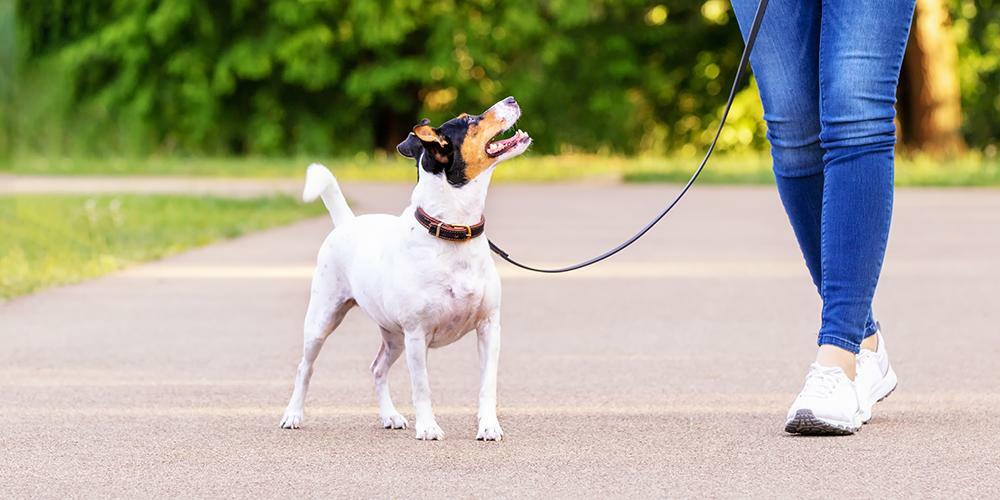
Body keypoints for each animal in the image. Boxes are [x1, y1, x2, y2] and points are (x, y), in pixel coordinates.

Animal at [280, 95, 532, 440]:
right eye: (469, 121)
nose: (511, 99)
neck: (453, 230)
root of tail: (347, 222)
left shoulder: (489, 328)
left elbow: (487, 385)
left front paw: (488, 426)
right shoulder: (417, 335)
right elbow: (422, 387)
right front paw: (428, 427)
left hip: (393, 337)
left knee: (377, 368)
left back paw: (390, 415)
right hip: (322, 321)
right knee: (304, 367)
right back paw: (293, 414)